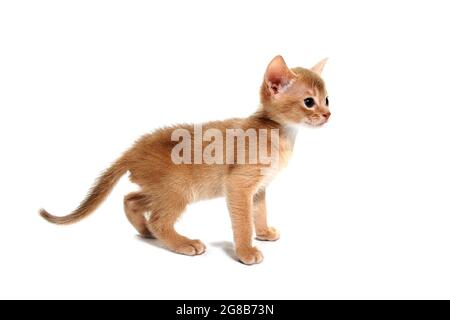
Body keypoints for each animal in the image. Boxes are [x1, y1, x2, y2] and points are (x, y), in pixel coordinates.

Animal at [40, 55, 330, 264]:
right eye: (309, 101)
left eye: (327, 99)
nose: (328, 114)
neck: (280, 133)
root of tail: (133, 149)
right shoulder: (239, 185)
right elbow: (243, 222)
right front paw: (246, 251)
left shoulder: (258, 189)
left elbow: (259, 212)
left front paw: (264, 233)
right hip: (177, 191)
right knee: (158, 219)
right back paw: (183, 243)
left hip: (163, 190)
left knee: (131, 200)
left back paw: (146, 231)